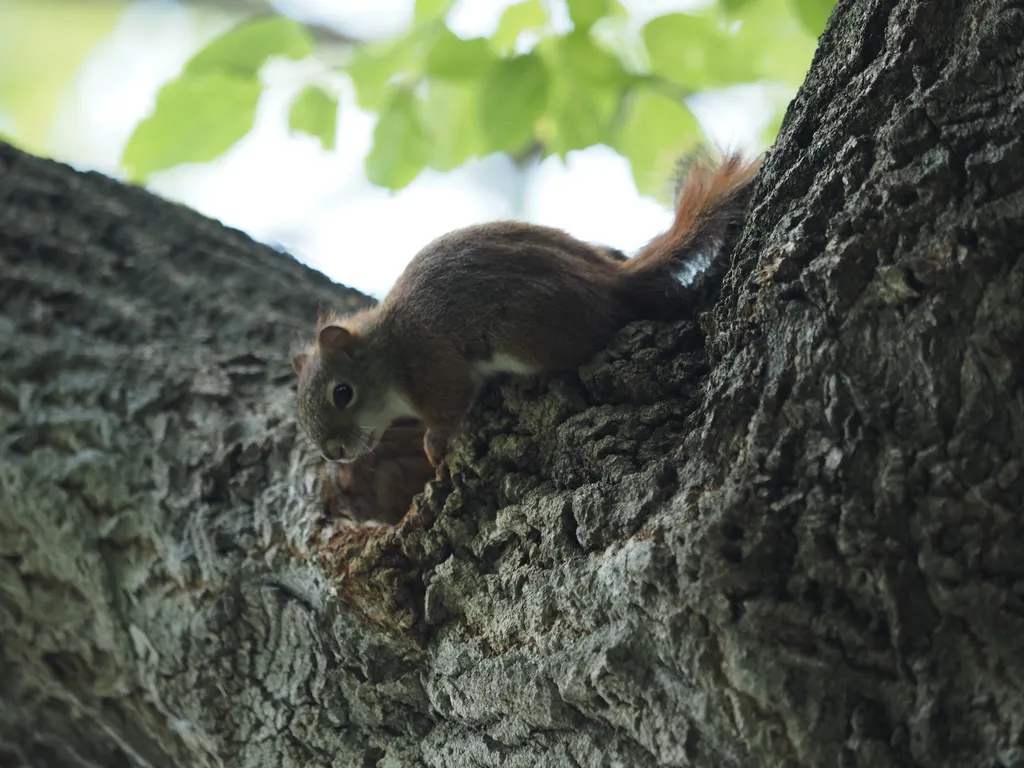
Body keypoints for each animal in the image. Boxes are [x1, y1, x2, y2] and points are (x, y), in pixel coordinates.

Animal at [292, 150, 762, 468]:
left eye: (342, 393)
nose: (333, 453)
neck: (389, 350)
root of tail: (610, 282)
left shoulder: (432, 371)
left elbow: (449, 409)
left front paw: (434, 446)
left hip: (523, 335)